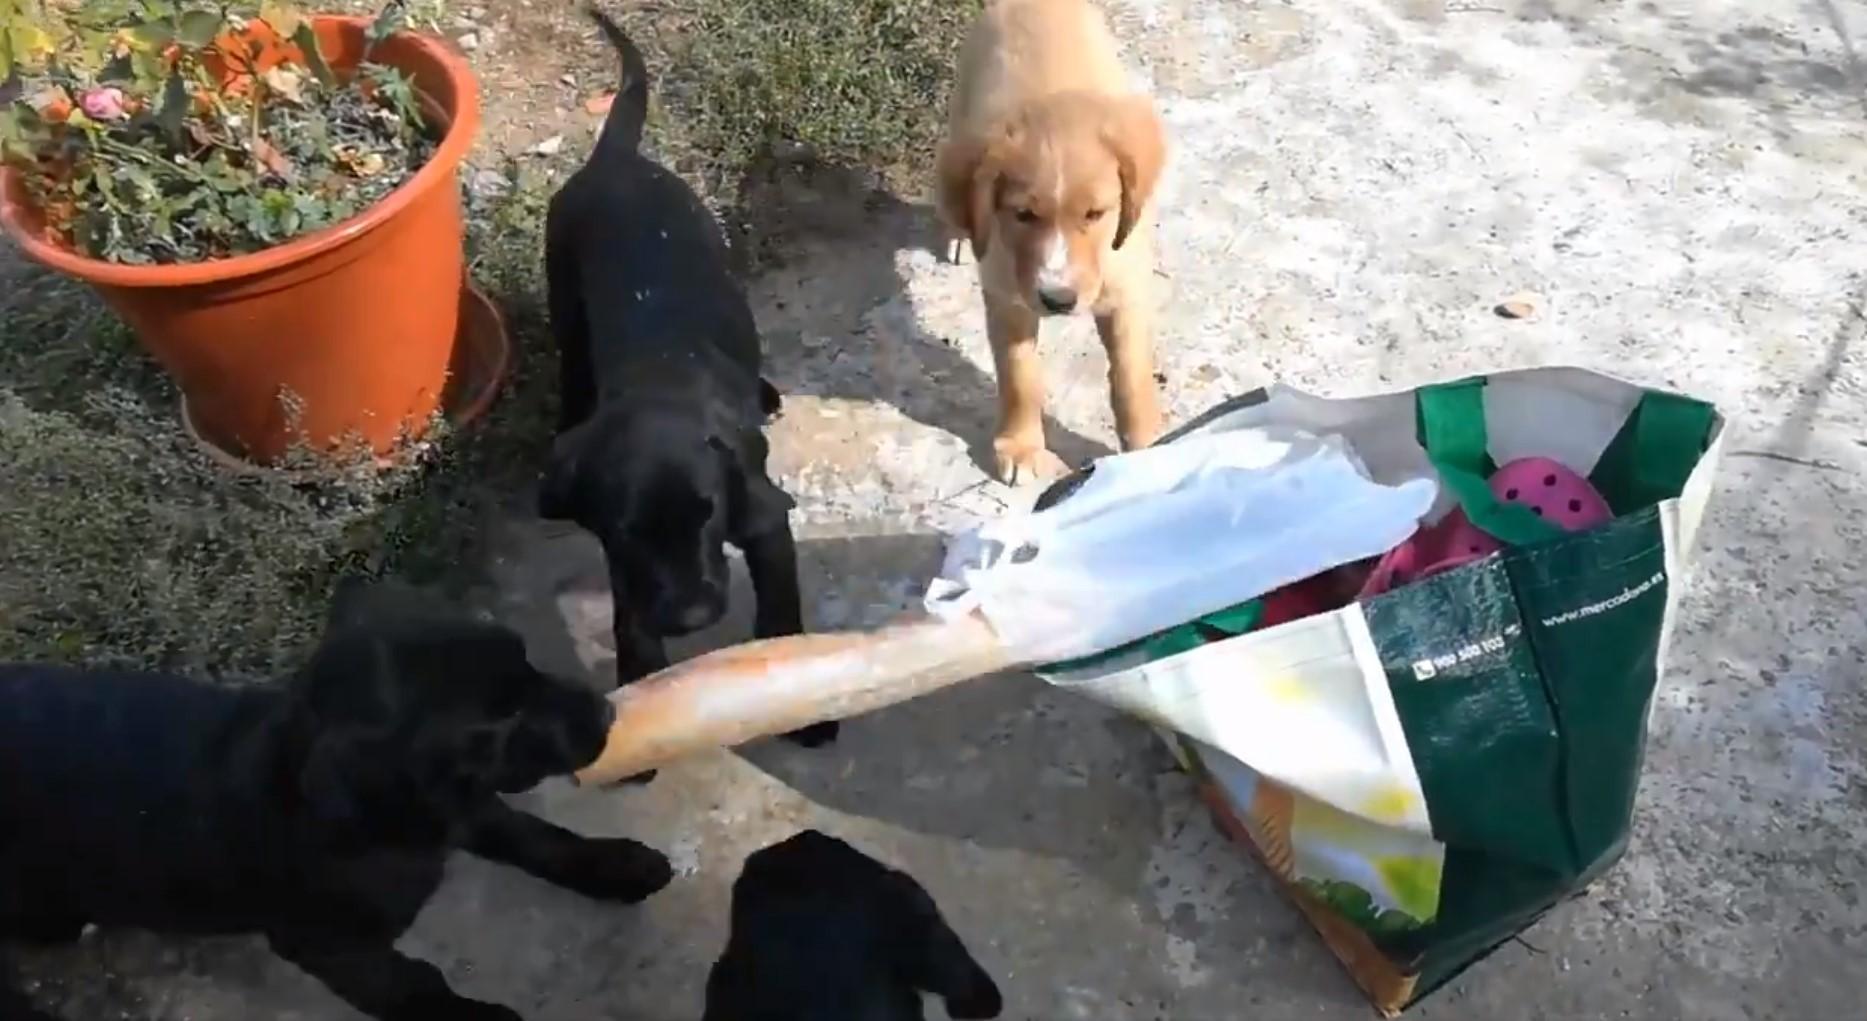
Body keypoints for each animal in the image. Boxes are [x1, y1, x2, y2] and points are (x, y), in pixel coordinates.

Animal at [0, 582, 672, 1021]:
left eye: (526, 660)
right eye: (499, 719)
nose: (607, 713)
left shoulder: (465, 808)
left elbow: (534, 836)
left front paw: (616, 865)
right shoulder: (326, 945)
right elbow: (415, 985)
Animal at [537, 12, 836, 746]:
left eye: (708, 513)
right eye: (630, 531)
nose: (694, 618)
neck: (660, 392)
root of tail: (613, 159)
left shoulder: (763, 516)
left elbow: (781, 612)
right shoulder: (623, 563)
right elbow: (631, 623)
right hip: (564, 292)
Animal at [933, 0, 1165, 485]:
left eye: (1095, 214)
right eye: (1023, 215)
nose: (1058, 300)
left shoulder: (1127, 289)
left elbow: (1131, 376)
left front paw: (1146, 446)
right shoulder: (1007, 294)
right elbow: (1020, 376)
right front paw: (1022, 449)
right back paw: (959, 234)